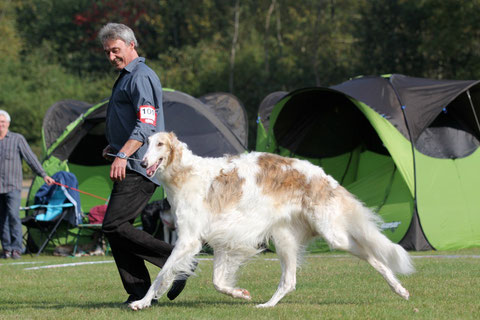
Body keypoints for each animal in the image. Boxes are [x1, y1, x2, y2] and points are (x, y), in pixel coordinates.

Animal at [129, 131, 414, 308]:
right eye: (146, 143)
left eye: (160, 145)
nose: (142, 163)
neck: (185, 174)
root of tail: (324, 177)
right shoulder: (224, 240)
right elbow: (218, 282)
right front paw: (240, 293)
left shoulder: (189, 239)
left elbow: (162, 274)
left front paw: (142, 302)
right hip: (285, 238)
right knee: (289, 281)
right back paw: (267, 304)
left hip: (333, 235)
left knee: (374, 256)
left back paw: (398, 287)